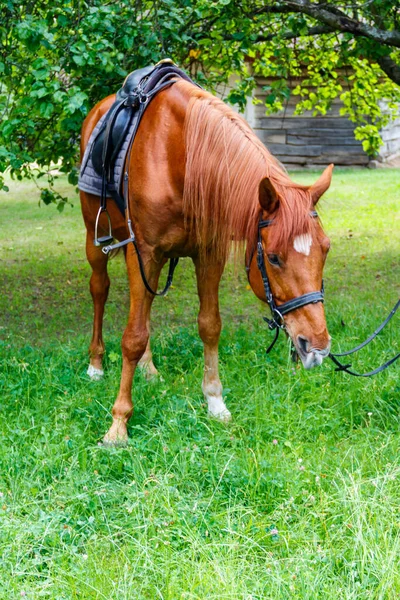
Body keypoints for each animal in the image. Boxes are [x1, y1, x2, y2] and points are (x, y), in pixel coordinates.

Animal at [79, 78, 332, 446]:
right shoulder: (145, 252)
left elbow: (209, 326)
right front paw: (118, 423)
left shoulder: (207, 254)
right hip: (96, 238)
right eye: (273, 258)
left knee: (144, 307)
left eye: (326, 249)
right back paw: (96, 364)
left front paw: (215, 401)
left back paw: (148, 368)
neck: (181, 158)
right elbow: (132, 337)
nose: (317, 347)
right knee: (100, 290)